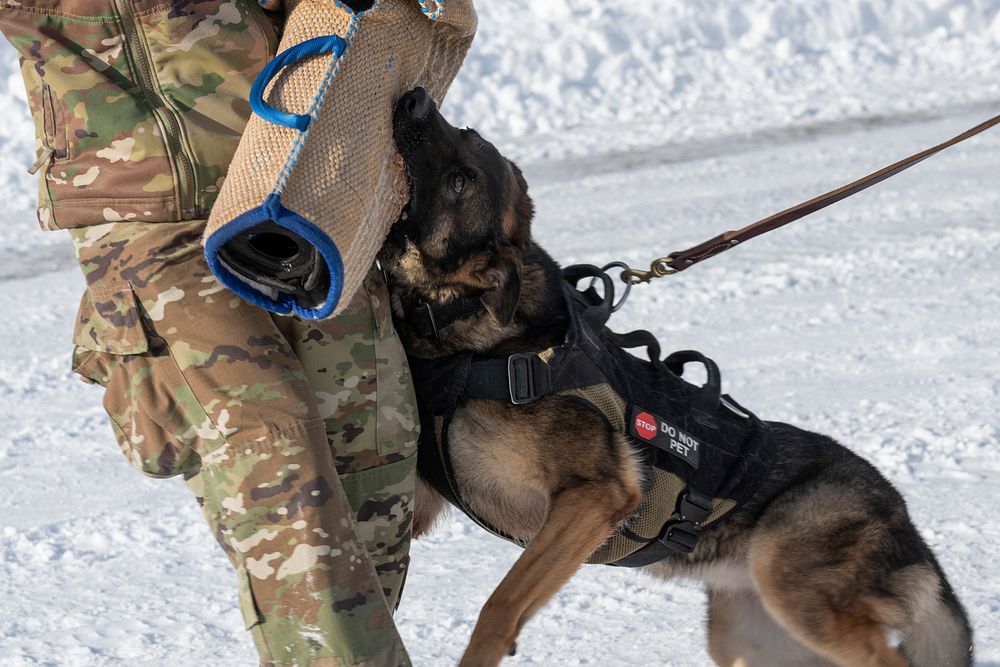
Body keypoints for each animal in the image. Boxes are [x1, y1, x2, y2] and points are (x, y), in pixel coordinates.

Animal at [378, 87, 972, 667]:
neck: (474, 340)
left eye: (459, 180)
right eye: (465, 132)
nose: (415, 97)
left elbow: (499, 606)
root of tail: (899, 511)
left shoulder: (595, 496)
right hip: (751, 638)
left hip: (796, 591)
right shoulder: (424, 504)